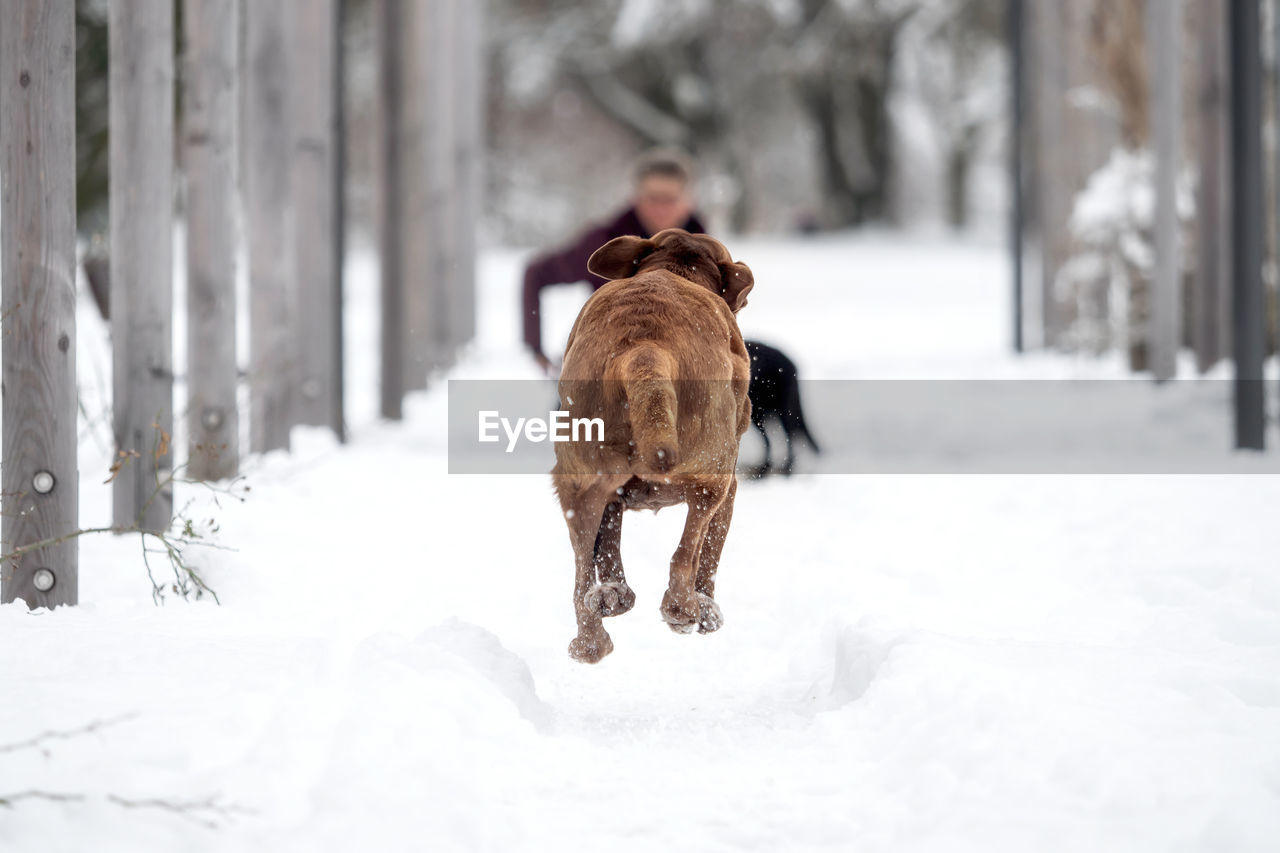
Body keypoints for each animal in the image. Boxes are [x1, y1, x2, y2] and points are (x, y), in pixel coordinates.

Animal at [547, 229, 747, 660]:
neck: (675, 268)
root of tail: (643, 349)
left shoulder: (610, 492)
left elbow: (608, 540)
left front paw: (613, 592)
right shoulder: (730, 488)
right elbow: (709, 552)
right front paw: (706, 607)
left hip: (576, 479)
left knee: (581, 575)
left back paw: (594, 633)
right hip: (713, 474)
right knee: (684, 554)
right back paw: (684, 609)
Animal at [742, 335, 819, 473]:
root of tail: (791, 363)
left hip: (783, 412)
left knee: (788, 438)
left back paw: (784, 468)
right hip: (760, 415)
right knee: (770, 441)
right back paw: (764, 467)